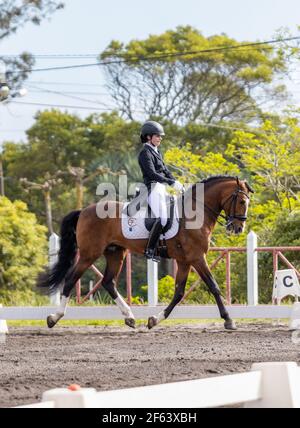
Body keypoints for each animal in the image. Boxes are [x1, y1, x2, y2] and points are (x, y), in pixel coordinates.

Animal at [38, 176, 253, 330]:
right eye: (242, 201)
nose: (238, 228)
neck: (196, 213)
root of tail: (83, 211)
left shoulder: (184, 261)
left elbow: (179, 293)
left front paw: (154, 320)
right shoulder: (197, 258)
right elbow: (214, 286)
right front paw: (228, 320)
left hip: (116, 253)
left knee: (108, 282)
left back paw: (130, 318)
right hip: (89, 254)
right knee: (71, 279)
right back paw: (54, 318)